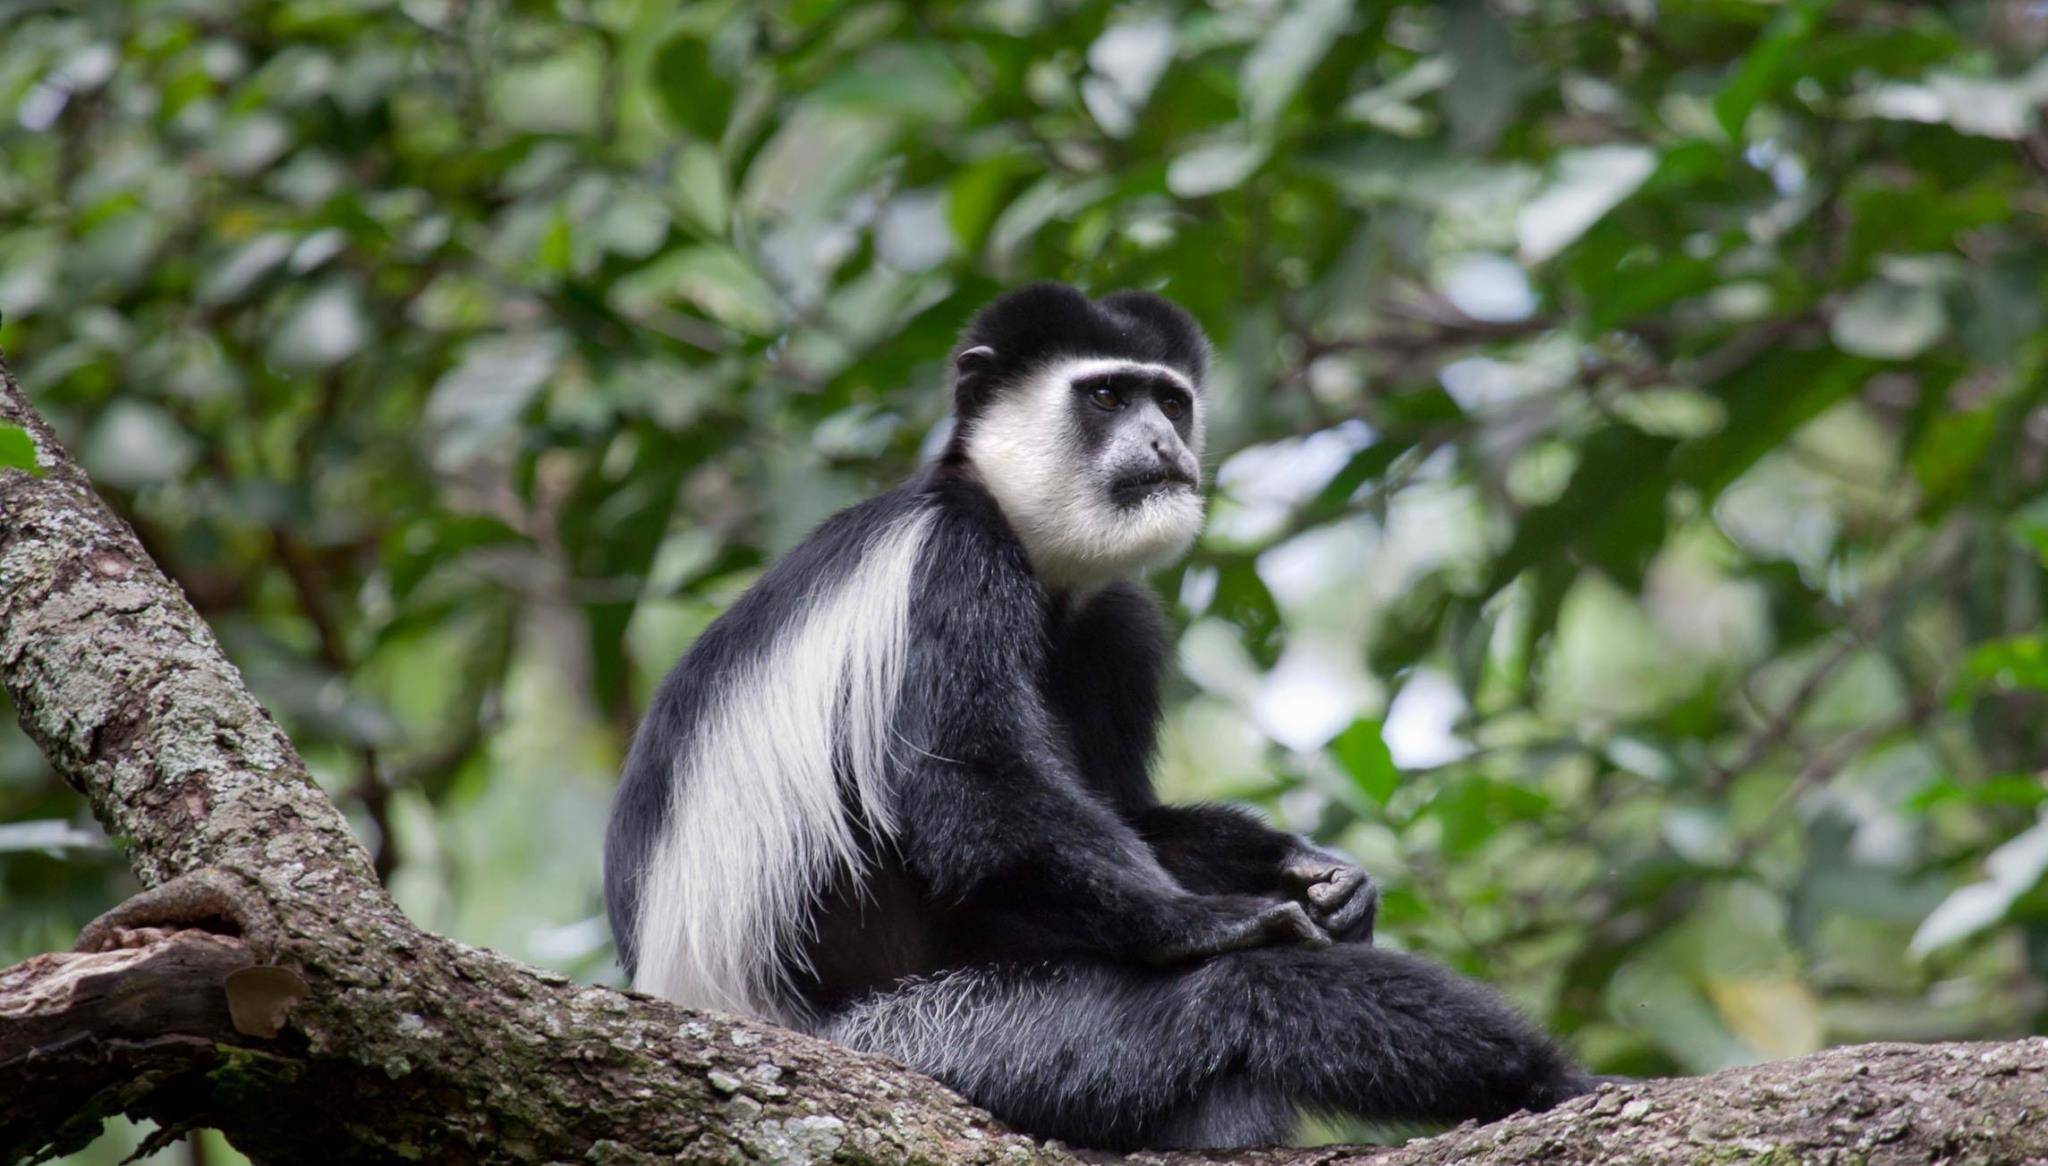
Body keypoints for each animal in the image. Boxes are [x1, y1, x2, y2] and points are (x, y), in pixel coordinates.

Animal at [598, 282, 1589, 1147]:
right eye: (1107, 395)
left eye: (1171, 402)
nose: (1160, 442)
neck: (1035, 560)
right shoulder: (953, 565)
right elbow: (978, 794)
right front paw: (1209, 920)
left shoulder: (1114, 627)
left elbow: (1122, 810)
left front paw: (1319, 874)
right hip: (929, 1037)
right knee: (1245, 996)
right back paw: (1545, 1079)